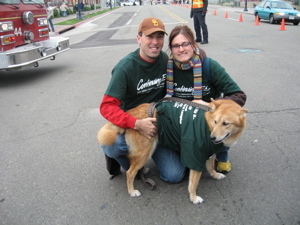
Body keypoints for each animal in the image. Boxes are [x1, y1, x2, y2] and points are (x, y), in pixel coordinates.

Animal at [97, 98, 247, 204]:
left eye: (225, 123)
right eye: (216, 121)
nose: (212, 137)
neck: (207, 124)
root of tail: (130, 114)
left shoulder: (209, 153)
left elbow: (210, 168)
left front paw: (215, 175)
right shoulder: (194, 156)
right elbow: (193, 183)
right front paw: (193, 198)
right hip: (144, 153)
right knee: (129, 173)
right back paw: (132, 191)